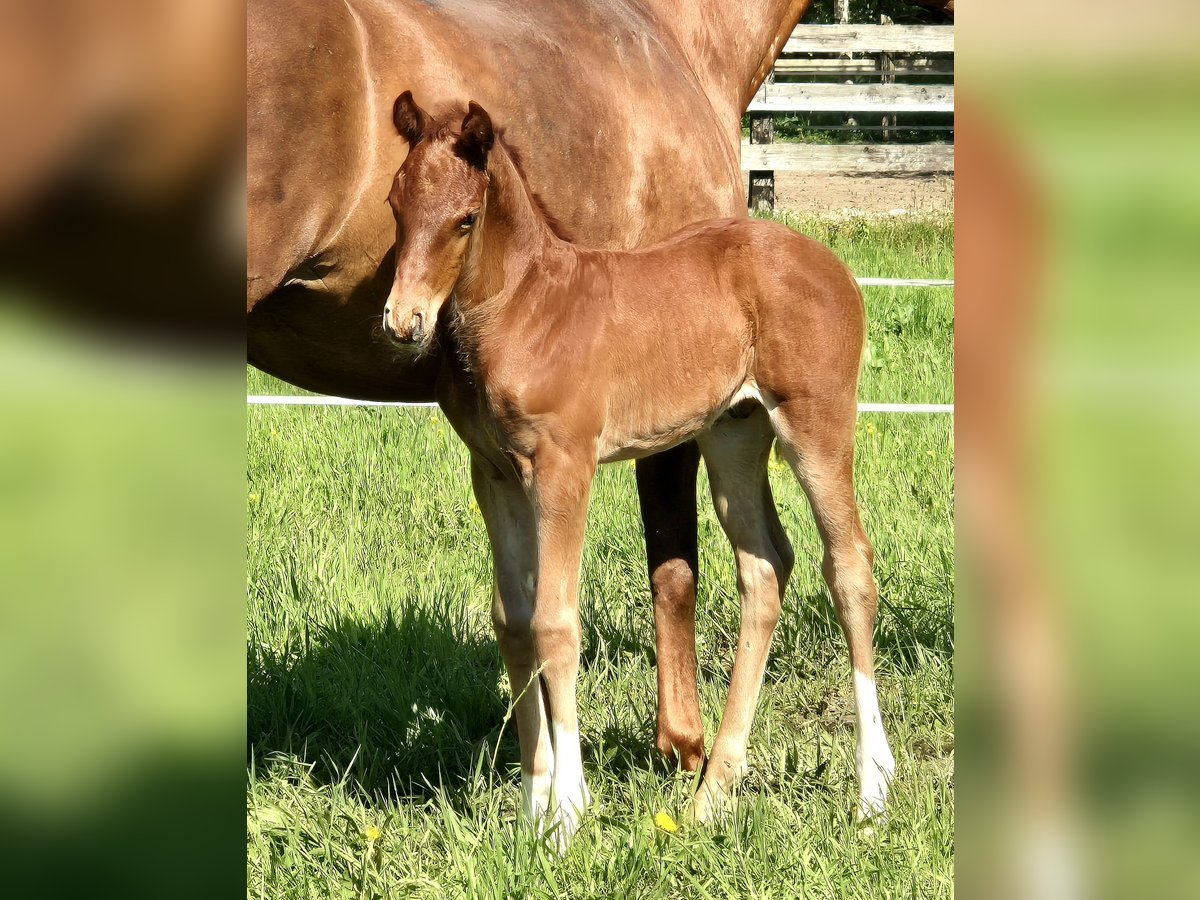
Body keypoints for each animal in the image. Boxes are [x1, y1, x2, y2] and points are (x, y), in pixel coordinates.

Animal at [381, 95, 892, 849]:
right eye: (395, 205)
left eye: (464, 219)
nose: (403, 322)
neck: (527, 308)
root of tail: (836, 269)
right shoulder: (495, 473)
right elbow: (512, 620)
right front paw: (532, 806)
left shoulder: (564, 466)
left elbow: (555, 623)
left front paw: (567, 812)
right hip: (734, 434)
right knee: (765, 567)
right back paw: (713, 794)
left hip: (815, 423)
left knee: (850, 565)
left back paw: (872, 791)